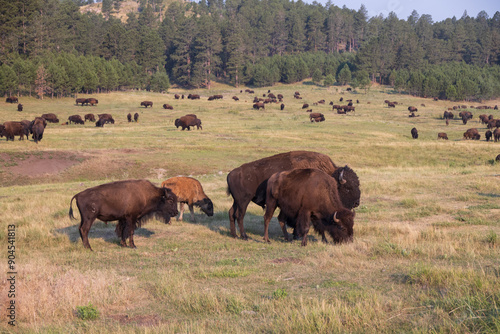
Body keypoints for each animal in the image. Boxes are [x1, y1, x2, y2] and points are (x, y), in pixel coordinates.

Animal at [226, 151, 360, 240]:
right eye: (348, 188)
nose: (356, 203)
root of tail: (231, 174)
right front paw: (296, 235)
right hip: (244, 201)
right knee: (240, 215)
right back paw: (244, 236)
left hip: (236, 201)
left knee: (231, 212)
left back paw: (234, 234)